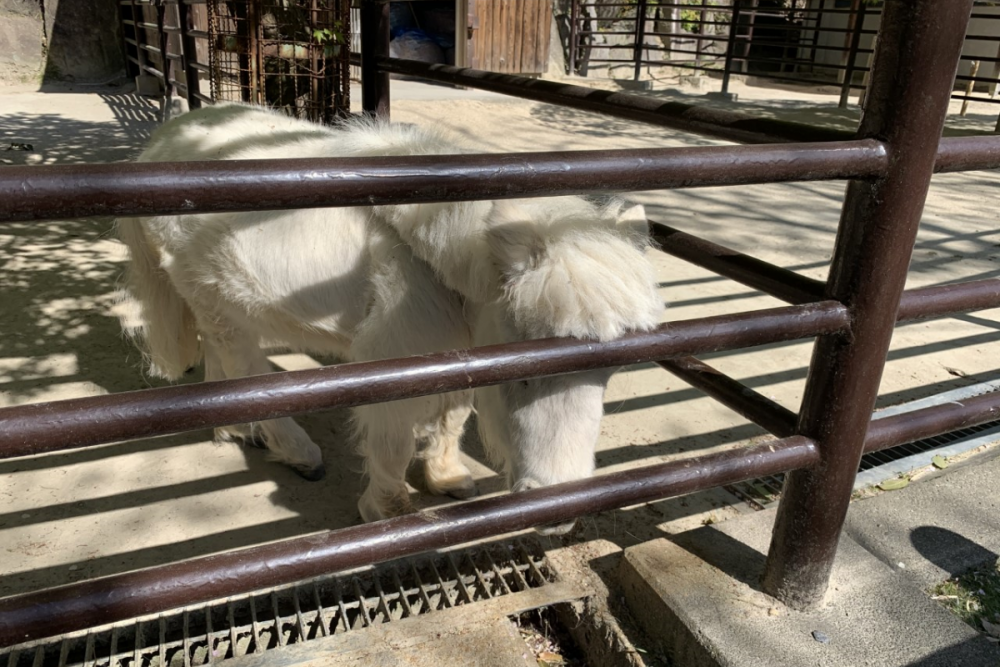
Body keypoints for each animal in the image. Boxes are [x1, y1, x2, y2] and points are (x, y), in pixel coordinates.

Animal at [119, 104, 664, 532]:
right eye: (525, 372)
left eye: (609, 373)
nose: (557, 506)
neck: (436, 257)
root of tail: (159, 142)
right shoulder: (393, 363)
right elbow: (393, 442)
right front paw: (386, 511)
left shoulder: (459, 351)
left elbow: (451, 416)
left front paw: (447, 477)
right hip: (219, 307)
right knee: (247, 374)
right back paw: (297, 453)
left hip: (218, 301)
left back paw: (233, 433)